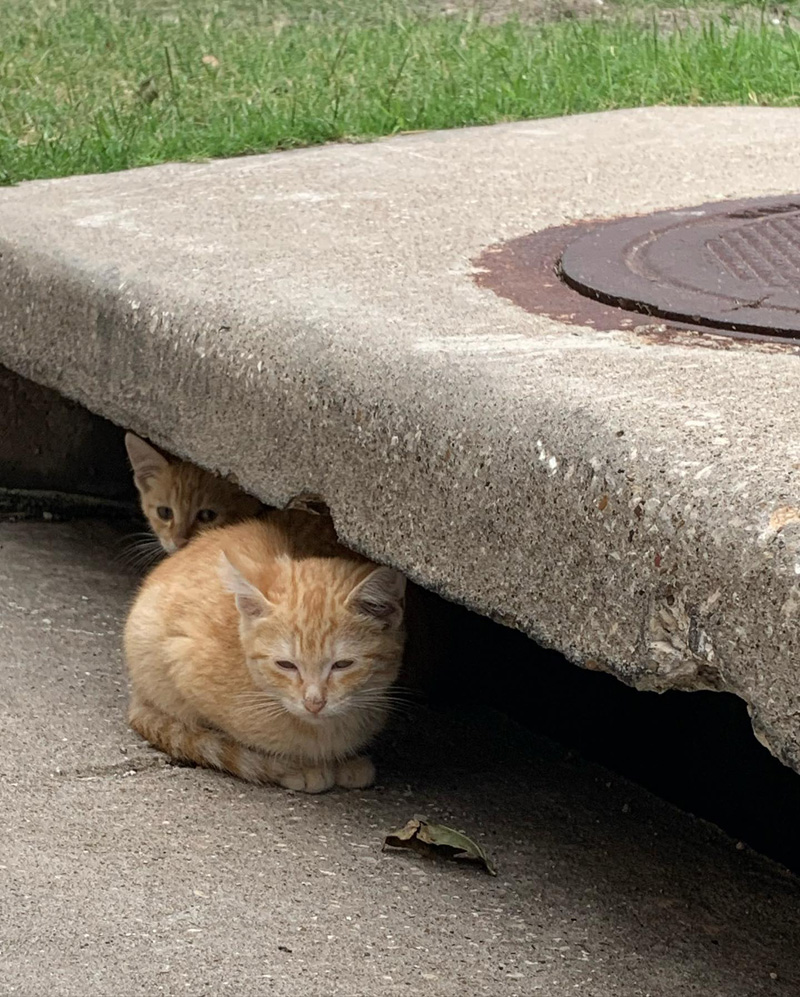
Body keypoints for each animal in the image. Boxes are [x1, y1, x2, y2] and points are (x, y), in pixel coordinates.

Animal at [124, 510, 406, 788]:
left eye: (343, 664)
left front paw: (346, 761)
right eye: (286, 665)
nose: (314, 703)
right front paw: (298, 767)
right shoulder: (183, 660)